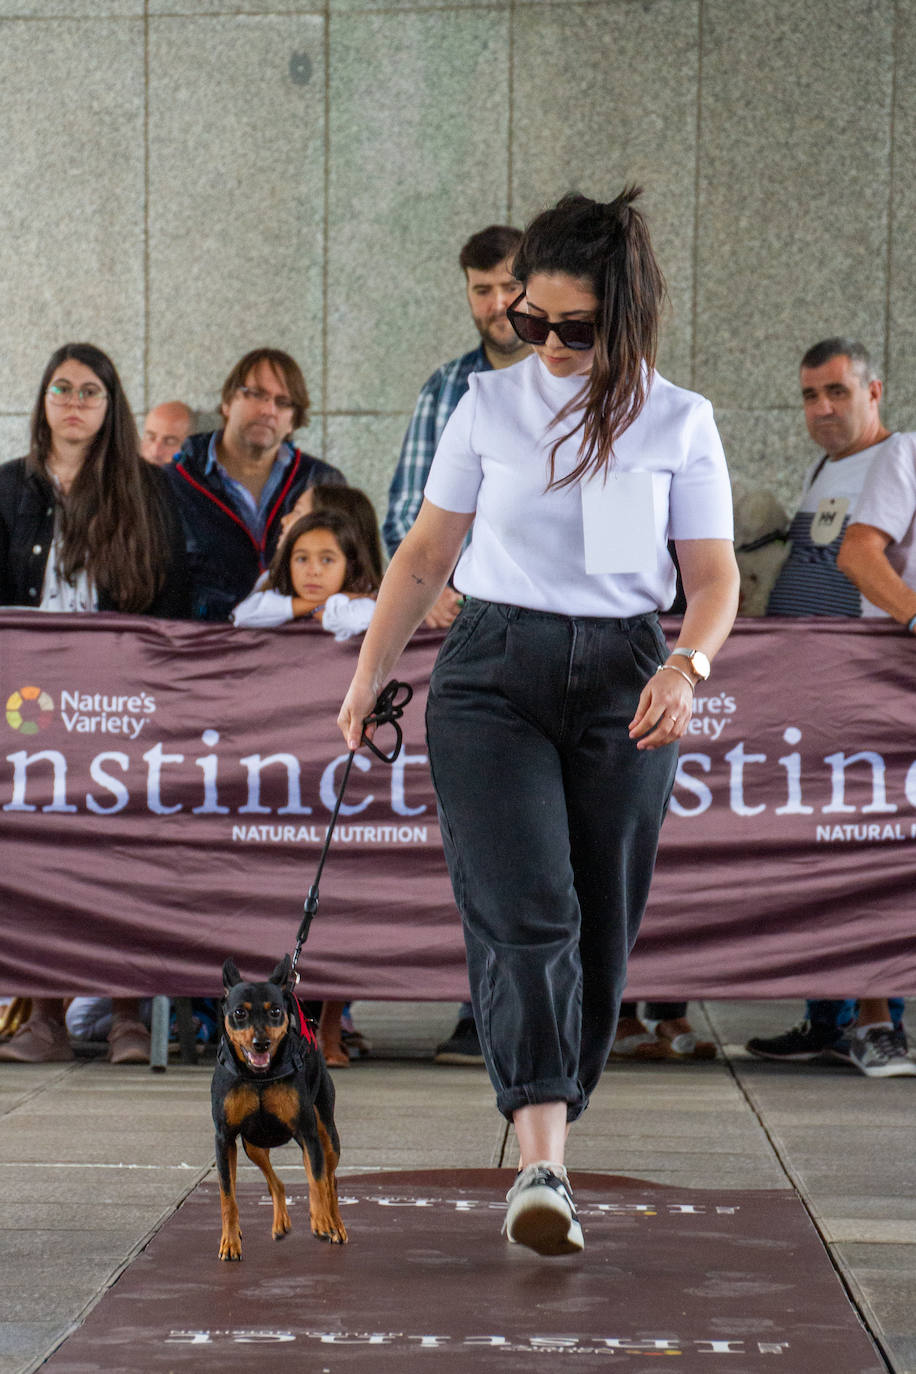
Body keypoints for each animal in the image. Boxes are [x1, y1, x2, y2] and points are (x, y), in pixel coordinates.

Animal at [211, 956, 347, 1258]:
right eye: (239, 1013)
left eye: (274, 1011)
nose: (261, 1043)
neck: (259, 1077)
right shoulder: (225, 1138)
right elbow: (227, 1195)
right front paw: (230, 1242)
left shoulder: (308, 1133)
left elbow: (316, 1181)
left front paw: (322, 1223)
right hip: (252, 1144)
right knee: (277, 1183)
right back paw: (280, 1224)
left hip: (327, 1132)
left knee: (329, 1179)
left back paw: (335, 1225)